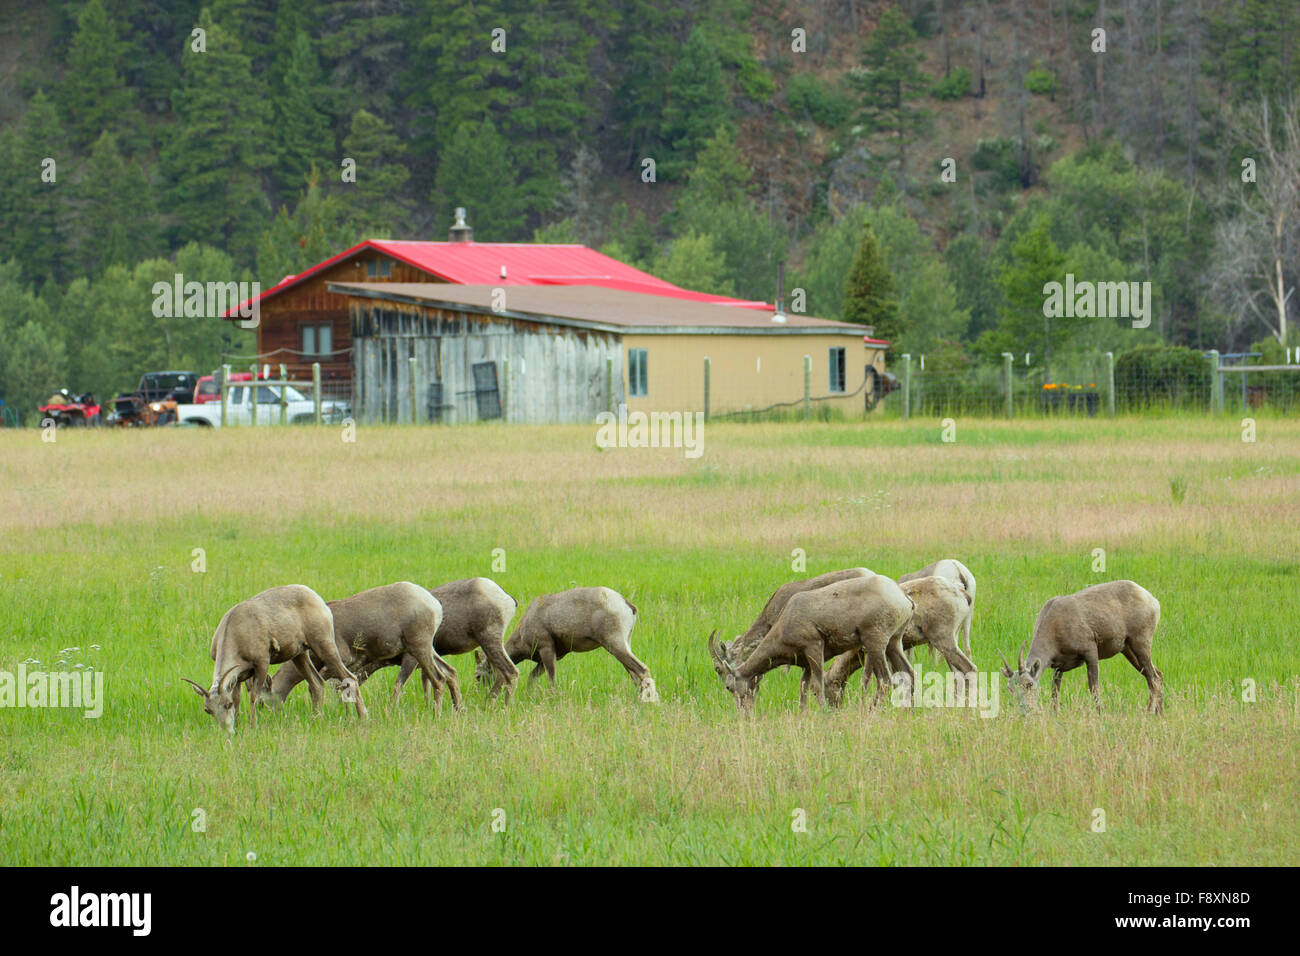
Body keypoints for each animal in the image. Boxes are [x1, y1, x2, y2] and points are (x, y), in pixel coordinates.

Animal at [183, 584, 366, 733]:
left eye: (226, 705)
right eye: (208, 710)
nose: (227, 732)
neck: (236, 631)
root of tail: (318, 600)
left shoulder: (261, 664)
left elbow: (253, 697)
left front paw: (253, 727)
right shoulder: (239, 677)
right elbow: (238, 699)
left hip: (324, 646)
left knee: (349, 678)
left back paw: (363, 718)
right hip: (299, 656)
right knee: (317, 684)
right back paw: (316, 720)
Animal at [268, 582, 462, 711]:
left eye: (264, 701)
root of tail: (435, 606)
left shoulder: (343, 660)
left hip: (419, 648)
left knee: (438, 679)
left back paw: (437, 714)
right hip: (428, 650)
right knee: (450, 673)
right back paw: (458, 710)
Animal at [476, 586, 657, 701]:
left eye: (478, 676)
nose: (480, 693)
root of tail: (628, 605)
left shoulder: (546, 649)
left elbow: (551, 679)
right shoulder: (548, 658)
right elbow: (532, 678)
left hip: (615, 645)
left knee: (642, 670)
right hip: (623, 645)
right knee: (635, 675)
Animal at [824, 574, 975, 707]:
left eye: (825, 687)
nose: (834, 709)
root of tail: (963, 594)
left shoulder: (868, 651)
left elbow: (866, 681)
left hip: (944, 638)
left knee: (969, 669)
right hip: (951, 639)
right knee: (957, 675)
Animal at [1000, 579, 1163, 714]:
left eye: (1029, 684)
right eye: (1010, 688)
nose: (1025, 711)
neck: (1055, 625)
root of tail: (1153, 601)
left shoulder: (1090, 652)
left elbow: (1094, 688)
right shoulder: (1058, 667)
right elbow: (1055, 692)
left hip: (1141, 643)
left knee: (1153, 679)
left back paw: (1149, 713)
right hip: (1127, 649)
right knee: (1157, 675)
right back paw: (1159, 714)